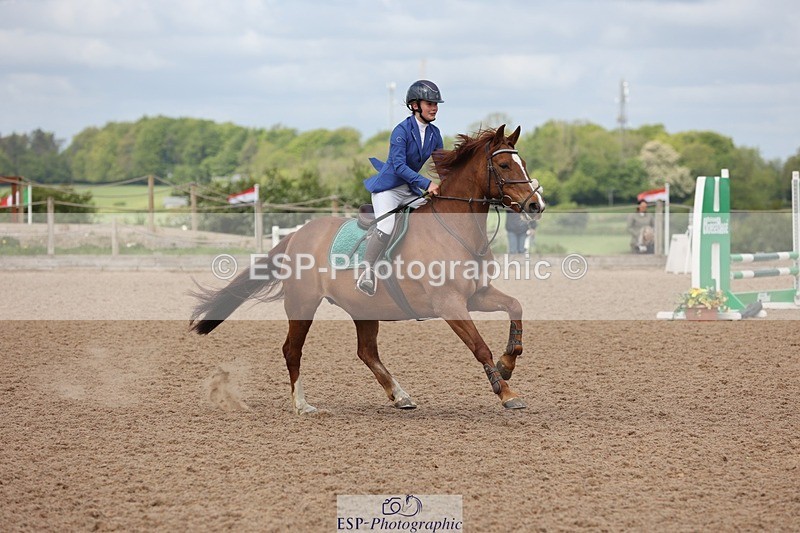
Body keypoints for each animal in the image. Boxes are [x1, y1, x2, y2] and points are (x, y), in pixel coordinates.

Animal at [190, 125, 546, 413]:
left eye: (523, 164)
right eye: (504, 165)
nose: (535, 204)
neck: (453, 229)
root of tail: (297, 234)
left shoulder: (476, 295)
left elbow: (515, 307)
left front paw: (507, 363)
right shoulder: (450, 305)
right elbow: (480, 347)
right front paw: (507, 393)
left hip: (364, 308)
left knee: (366, 352)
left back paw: (400, 395)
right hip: (303, 304)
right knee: (292, 350)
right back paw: (302, 405)